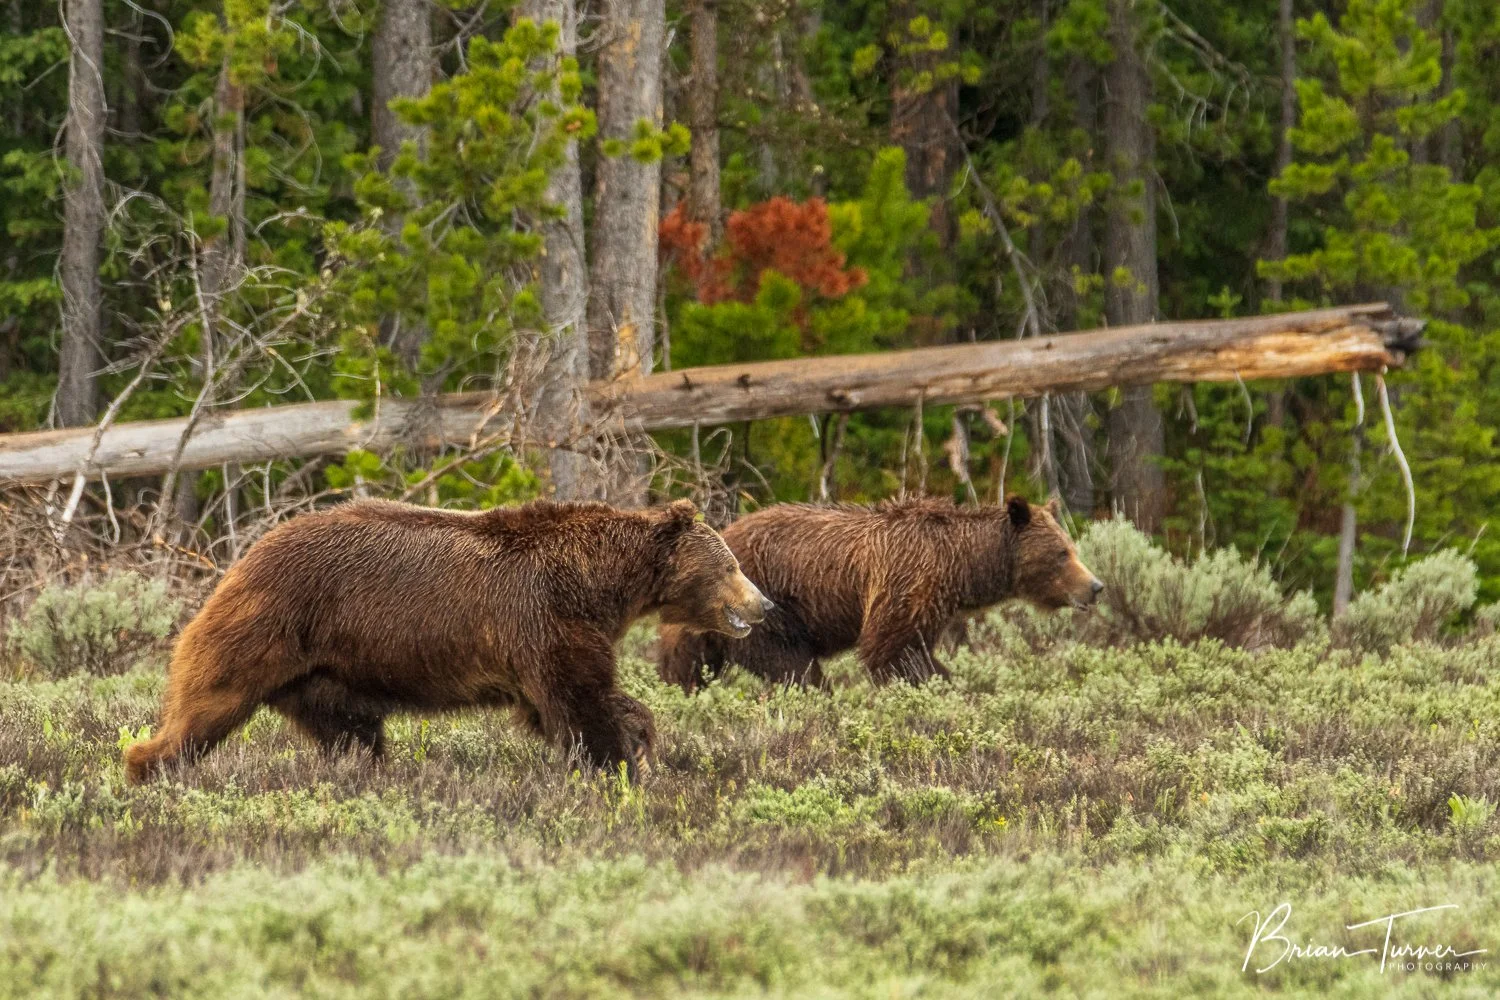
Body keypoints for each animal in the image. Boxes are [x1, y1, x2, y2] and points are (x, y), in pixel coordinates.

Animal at [124, 497, 772, 784]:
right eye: (731, 565)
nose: (762, 604)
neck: (600, 583)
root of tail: (243, 557)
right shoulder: (544, 617)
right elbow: (578, 699)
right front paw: (618, 764)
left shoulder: (546, 633)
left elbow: (567, 702)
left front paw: (642, 744)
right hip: (269, 626)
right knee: (207, 705)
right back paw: (148, 766)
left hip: (325, 673)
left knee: (351, 729)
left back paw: (367, 772)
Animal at [657, 495, 1101, 690]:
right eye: (1062, 553)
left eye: (1071, 547)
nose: (1095, 586)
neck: (959, 566)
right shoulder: (907, 581)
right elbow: (892, 649)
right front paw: (933, 684)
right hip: (765, 606)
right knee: (792, 666)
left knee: (690, 661)